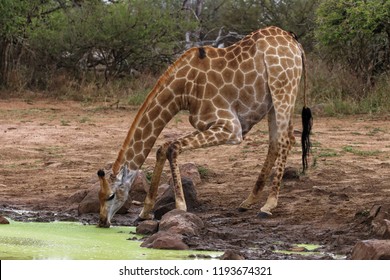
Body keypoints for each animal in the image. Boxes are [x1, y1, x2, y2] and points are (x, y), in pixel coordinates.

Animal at [96, 25, 310, 228]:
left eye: (111, 195)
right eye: (99, 195)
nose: (102, 222)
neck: (184, 91)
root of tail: (294, 42)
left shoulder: (231, 128)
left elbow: (173, 147)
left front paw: (180, 206)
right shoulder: (206, 124)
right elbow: (163, 147)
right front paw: (144, 212)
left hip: (283, 89)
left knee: (285, 140)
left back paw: (268, 205)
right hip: (273, 100)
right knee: (275, 142)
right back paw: (248, 201)